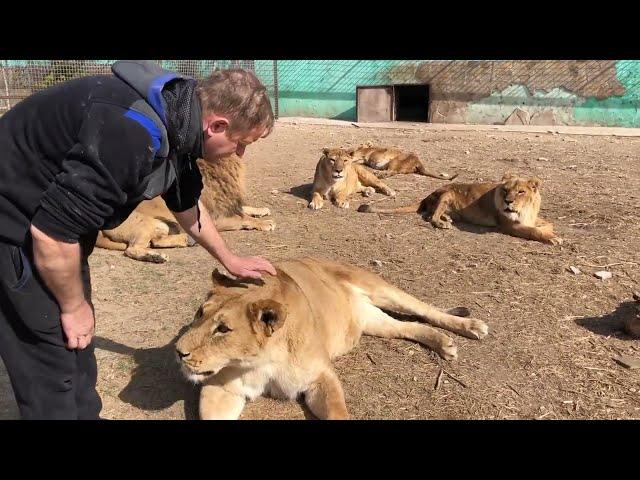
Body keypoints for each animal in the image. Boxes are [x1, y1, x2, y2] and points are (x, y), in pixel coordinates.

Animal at [98, 155, 276, 262]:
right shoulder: (214, 219)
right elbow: (243, 219)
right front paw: (265, 223)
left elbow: (245, 209)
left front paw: (262, 210)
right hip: (149, 223)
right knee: (133, 249)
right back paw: (156, 257)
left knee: (156, 241)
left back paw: (186, 240)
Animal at [172, 256, 488, 418]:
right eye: (200, 313)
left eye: (223, 329)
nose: (178, 352)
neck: (260, 361)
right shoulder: (220, 389)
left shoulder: (321, 377)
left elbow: (338, 412)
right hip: (373, 321)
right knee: (407, 327)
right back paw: (444, 343)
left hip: (382, 289)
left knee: (425, 309)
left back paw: (471, 327)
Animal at [358, 173, 564, 246]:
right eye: (505, 190)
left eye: (521, 191)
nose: (508, 201)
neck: (525, 209)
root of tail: (427, 195)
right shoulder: (509, 226)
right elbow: (532, 231)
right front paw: (552, 238)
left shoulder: (532, 217)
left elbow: (548, 224)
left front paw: (550, 231)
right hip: (448, 194)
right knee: (431, 217)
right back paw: (443, 223)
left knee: (430, 214)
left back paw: (448, 219)